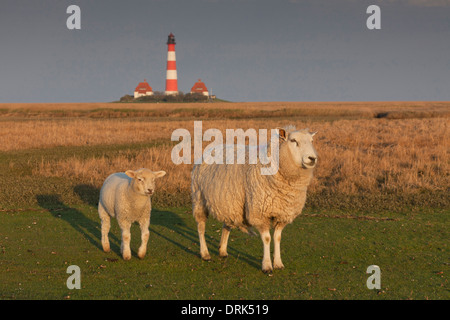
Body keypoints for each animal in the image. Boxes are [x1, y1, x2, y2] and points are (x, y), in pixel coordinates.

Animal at [192, 125, 318, 272]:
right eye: (293, 140)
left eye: (312, 141)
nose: (312, 158)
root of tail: (210, 150)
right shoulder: (259, 212)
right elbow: (267, 238)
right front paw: (267, 266)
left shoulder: (282, 213)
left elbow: (277, 238)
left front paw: (278, 263)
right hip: (199, 198)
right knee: (201, 227)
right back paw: (205, 253)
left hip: (230, 202)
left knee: (226, 225)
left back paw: (222, 251)